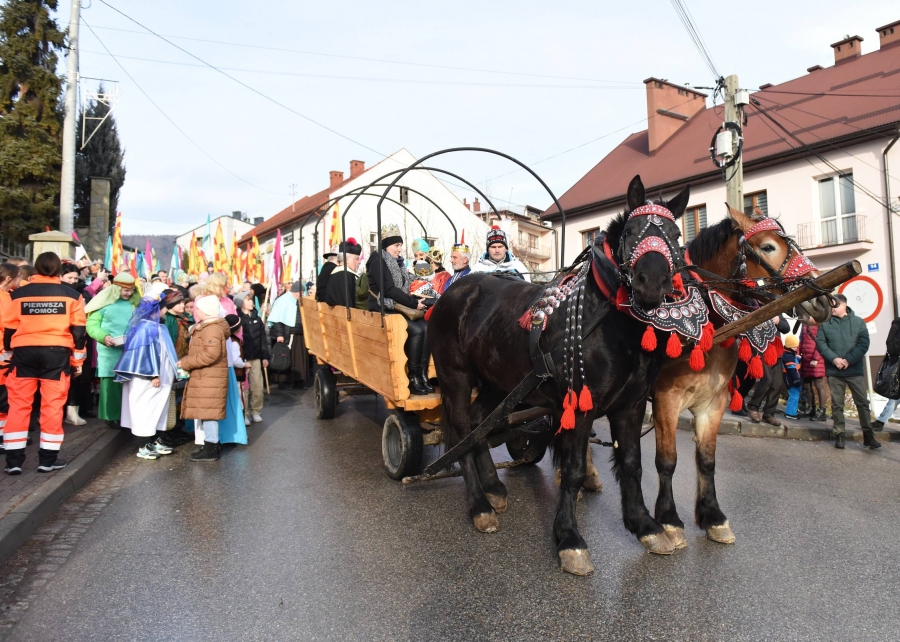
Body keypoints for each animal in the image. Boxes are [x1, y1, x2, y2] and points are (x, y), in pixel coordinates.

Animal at [429, 175, 692, 576]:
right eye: (631, 232)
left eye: (675, 234)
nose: (652, 283)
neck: (608, 322)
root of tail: (454, 290)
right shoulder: (580, 408)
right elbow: (572, 470)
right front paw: (570, 539)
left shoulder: (630, 406)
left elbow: (632, 464)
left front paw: (645, 525)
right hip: (455, 377)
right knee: (462, 432)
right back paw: (479, 505)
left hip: (499, 383)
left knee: (479, 424)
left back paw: (494, 487)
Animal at [650, 205, 832, 549]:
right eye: (768, 247)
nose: (823, 299)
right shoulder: (666, 398)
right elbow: (667, 460)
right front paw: (668, 521)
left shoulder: (714, 402)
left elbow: (706, 459)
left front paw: (713, 517)